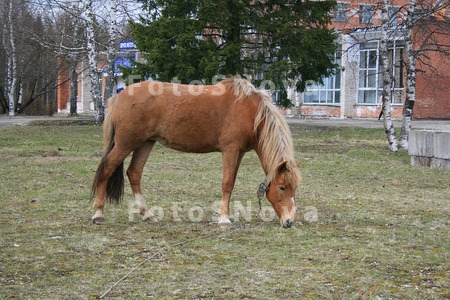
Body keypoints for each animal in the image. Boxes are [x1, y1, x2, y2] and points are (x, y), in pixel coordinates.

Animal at [90, 77, 302, 227]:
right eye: (282, 187)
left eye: (295, 187)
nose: (290, 221)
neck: (251, 112)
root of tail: (118, 96)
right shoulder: (230, 150)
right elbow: (227, 183)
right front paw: (224, 219)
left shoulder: (239, 153)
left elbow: (232, 182)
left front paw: (228, 214)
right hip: (126, 144)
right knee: (107, 169)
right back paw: (98, 213)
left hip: (145, 143)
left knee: (134, 173)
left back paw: (147, 214)